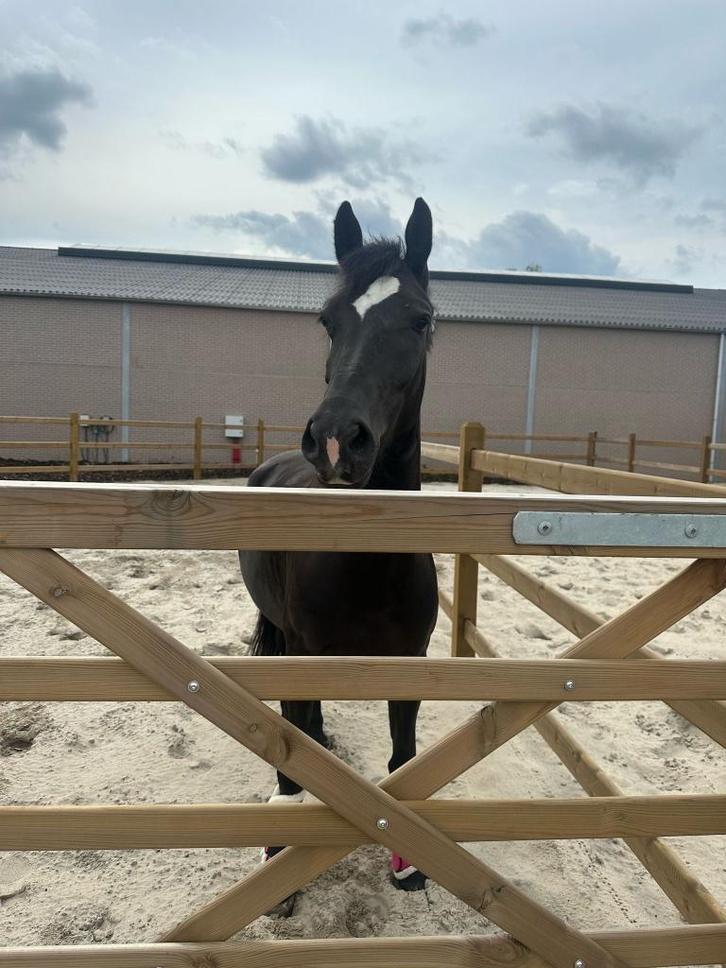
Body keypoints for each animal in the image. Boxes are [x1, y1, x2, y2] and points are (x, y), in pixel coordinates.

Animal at [239, 197, 438, 906]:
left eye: (420, 319)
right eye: (328, 321)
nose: (334, 439)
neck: (370, 565)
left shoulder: (410, 661)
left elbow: (404, 756)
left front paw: (408, 865)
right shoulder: (304, 651)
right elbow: (290, 753)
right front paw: (280, 864)